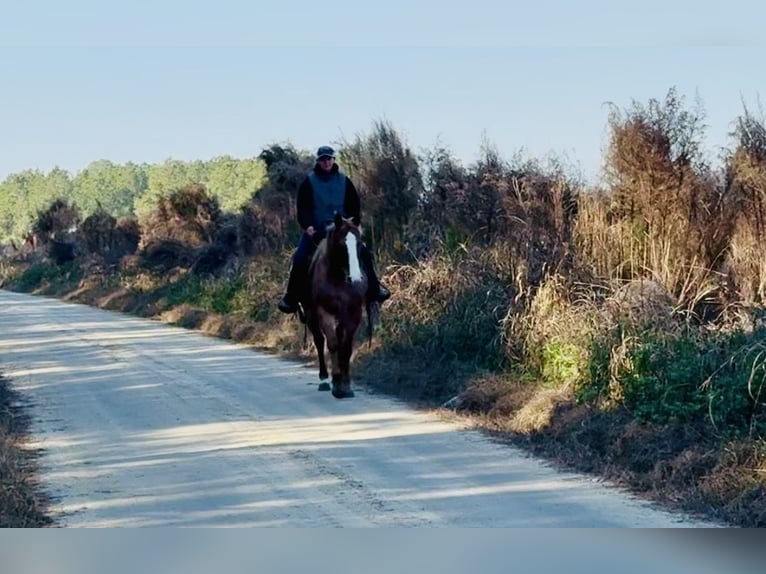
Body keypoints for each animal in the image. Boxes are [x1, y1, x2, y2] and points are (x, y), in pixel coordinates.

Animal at [301, 212, 371, 399]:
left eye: (359, 243)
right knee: (320, 341)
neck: (338, 278)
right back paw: (325, 380)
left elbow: (346, 347)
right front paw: (337, 383)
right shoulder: (323, 312)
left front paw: (345, 385)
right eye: (341, 244)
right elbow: (332, 344)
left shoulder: (354, 313)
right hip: (311, 315)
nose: (356, 278)